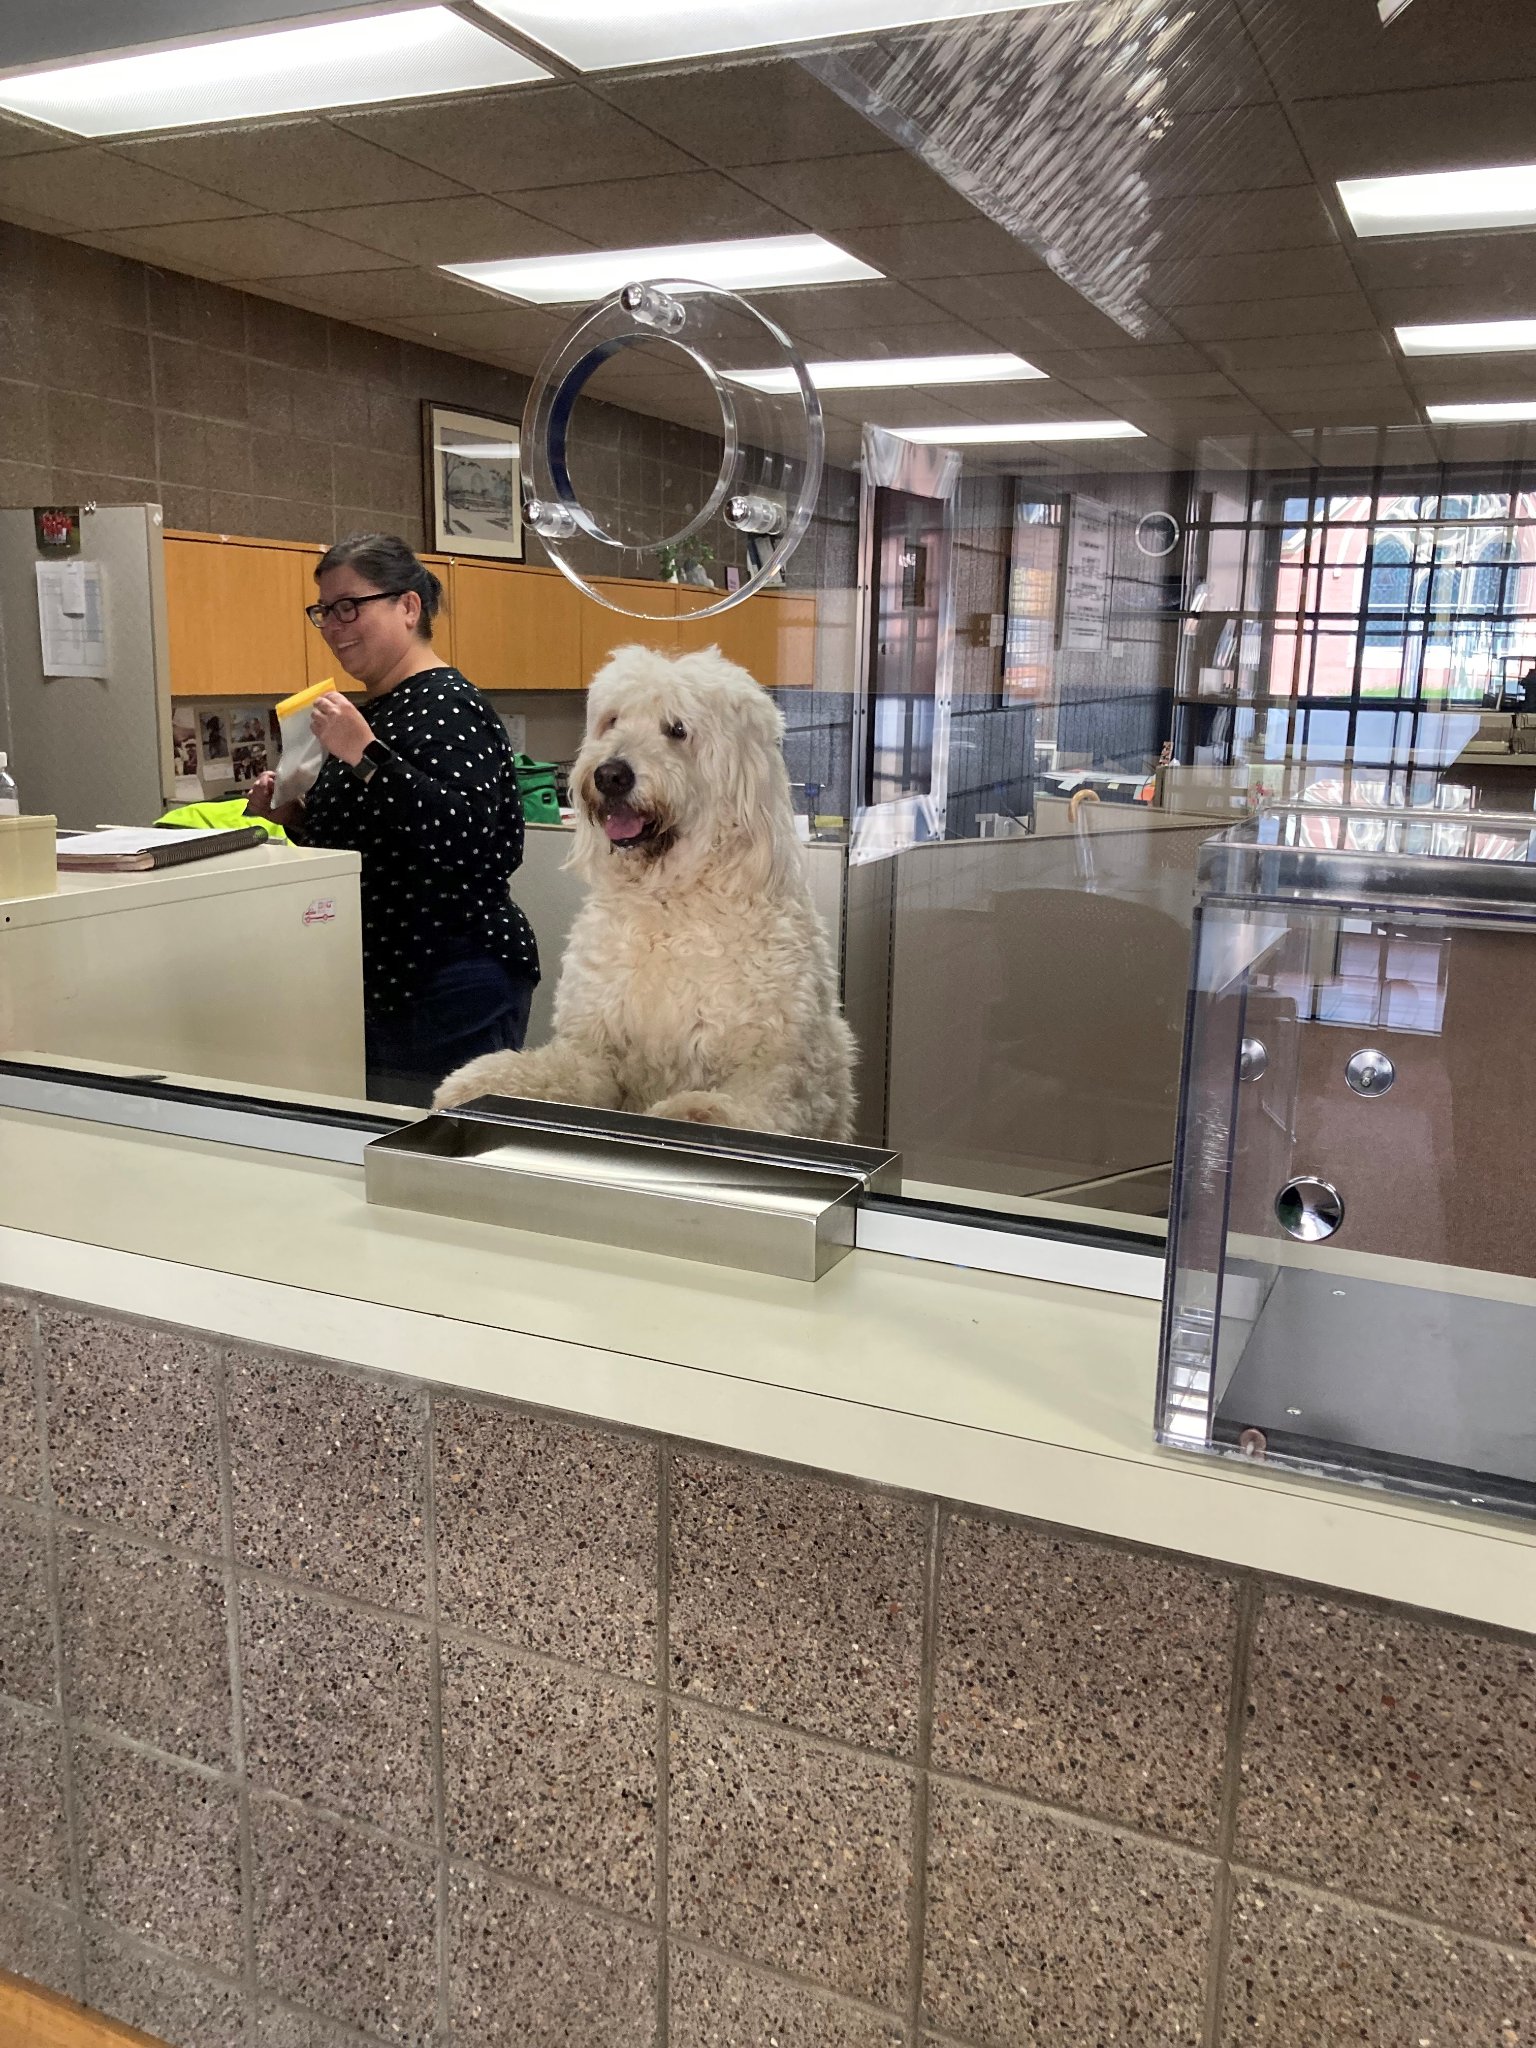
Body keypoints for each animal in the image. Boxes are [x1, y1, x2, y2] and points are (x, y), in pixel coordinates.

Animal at [436, 643, 856, 1138]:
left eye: (677, 729)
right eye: (612, 720)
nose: (610, 775)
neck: (670, 902)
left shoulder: (779, 1064)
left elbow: (754, 1099)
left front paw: (695, 1112)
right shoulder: (598, 1047)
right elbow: (557, 1072)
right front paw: (481, 1082)